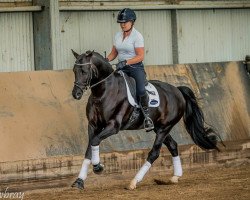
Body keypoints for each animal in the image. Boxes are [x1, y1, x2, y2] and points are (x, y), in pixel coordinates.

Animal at [70, 50, 219, 191]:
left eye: (84, 71)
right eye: (74, 70)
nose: (76, 94)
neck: (103, 92)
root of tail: (177, 90)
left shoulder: (113, 126)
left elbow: (95, 141)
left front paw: (98, 167)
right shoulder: (93, 126)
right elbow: (89, 149)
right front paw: (79, 181)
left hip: (164, 128)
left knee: (154, 153)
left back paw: (133, 182)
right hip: (158, 128)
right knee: (173, 145)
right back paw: (175, 177)